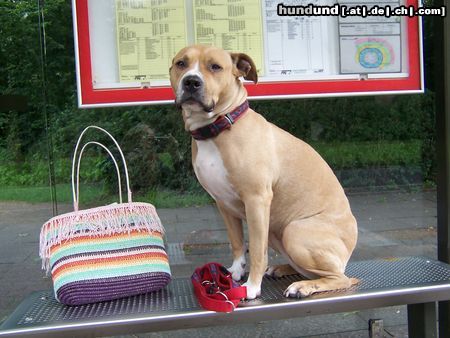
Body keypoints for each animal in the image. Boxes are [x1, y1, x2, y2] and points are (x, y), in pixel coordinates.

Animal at [170, 44, 358, 298]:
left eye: (215, 67)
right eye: (181, 63)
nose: (191, 81)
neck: (218, 129)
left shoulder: (256, 200)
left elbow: (257, 250)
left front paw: (251, 286)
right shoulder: (223, 204)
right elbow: (237, 242)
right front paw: (235, 272)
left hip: (294, 231)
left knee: (339, 278)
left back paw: (303, 287)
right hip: (278, 233)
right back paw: (282, 269)